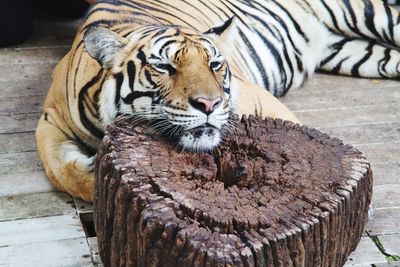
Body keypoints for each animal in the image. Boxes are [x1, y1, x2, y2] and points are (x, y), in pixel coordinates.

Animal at [36, 0, 400, 202]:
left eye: (214, 64)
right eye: (164, 67)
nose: (209, 104)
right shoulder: (51, 118)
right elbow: (60, 170)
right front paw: (91, 170)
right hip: (355, 53)